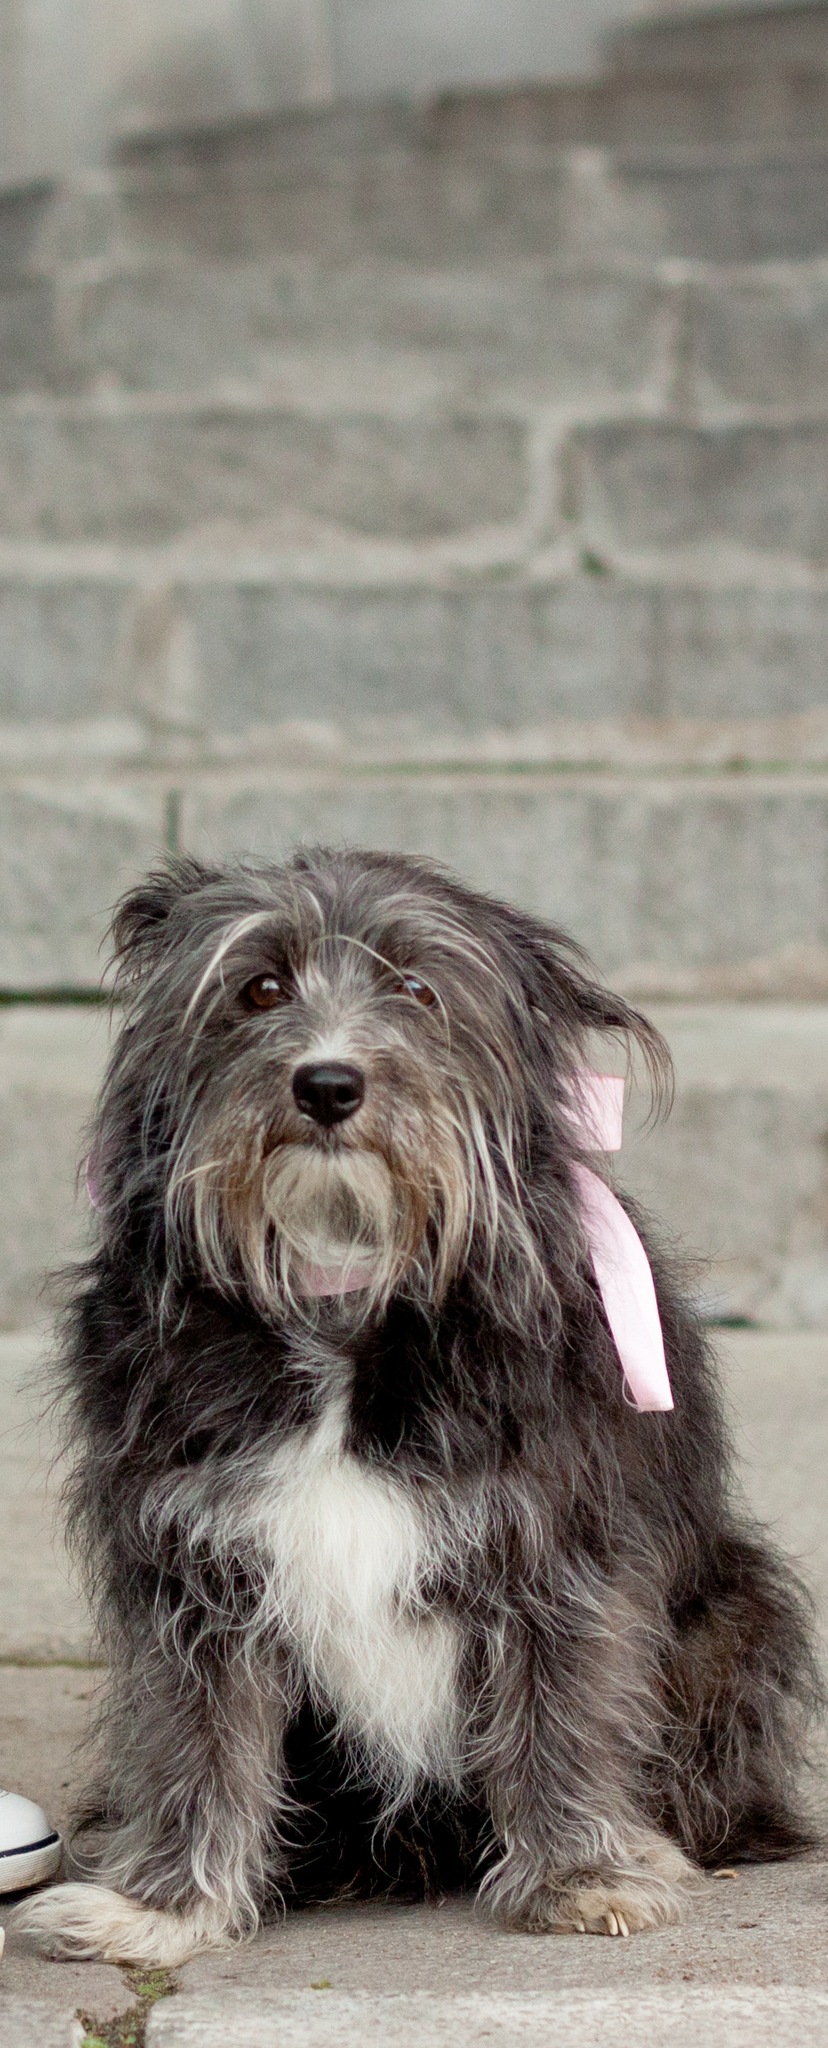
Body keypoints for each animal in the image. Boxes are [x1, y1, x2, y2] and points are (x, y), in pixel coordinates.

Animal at [15, 845, 822, 1967]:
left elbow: (561, 1705)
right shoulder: (194, 1564)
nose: (327, 1083)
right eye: (259, 987)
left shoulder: (555, 1548)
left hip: (741, 1615)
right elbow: (195, 1736)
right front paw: (160, 1905)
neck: (343, 1290)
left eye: (418, 990)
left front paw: (580, 1873)